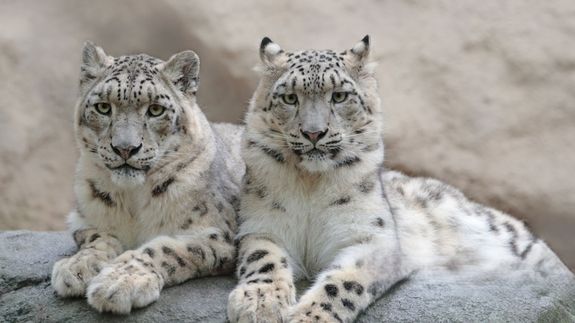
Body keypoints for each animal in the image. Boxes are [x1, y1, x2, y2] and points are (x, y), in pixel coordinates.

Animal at [50, 42, 245, 314]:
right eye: (103, 107)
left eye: (155, 110)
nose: (125, 148)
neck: (132, 200)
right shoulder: (84, 219)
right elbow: (97, 237)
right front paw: (77, 267)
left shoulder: (217, 233)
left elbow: (165, 249)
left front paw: (119, 283)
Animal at [227, 36, 568, 323]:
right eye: (289, 97)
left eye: (339, 96)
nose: (314, 133)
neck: (311, 185)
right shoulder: (262, 225)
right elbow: (263, 259)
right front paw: (258, 302)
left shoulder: (374, 239)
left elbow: (343, 283)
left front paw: (308, 316)